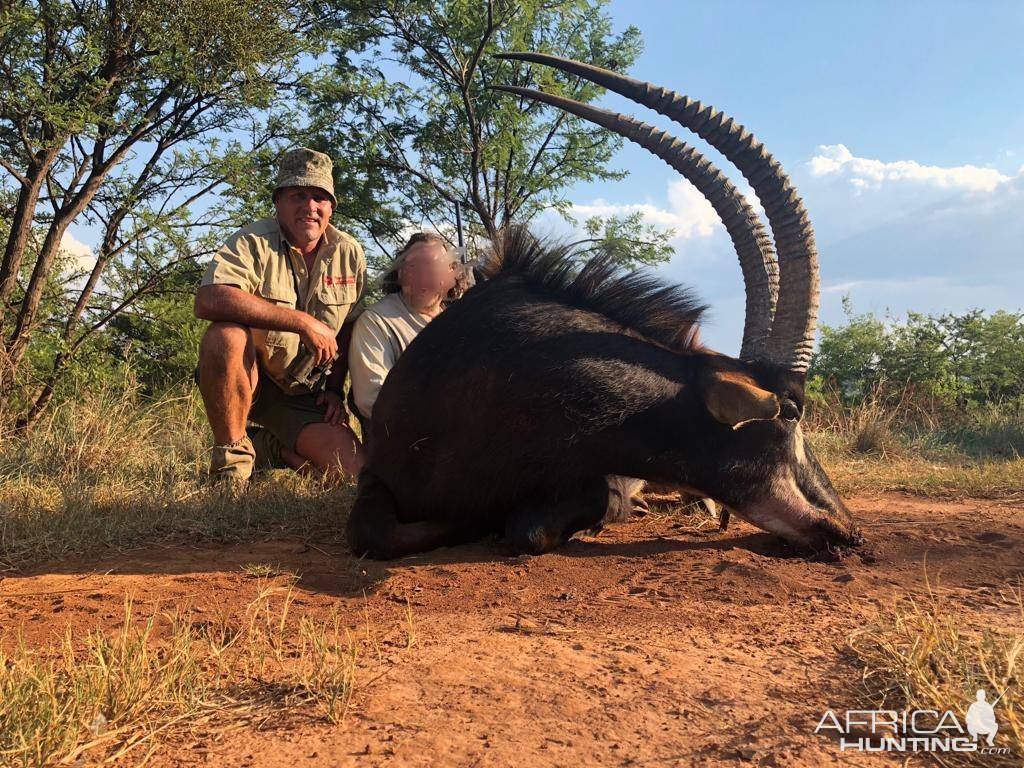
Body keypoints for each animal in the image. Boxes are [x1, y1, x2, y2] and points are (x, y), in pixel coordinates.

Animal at [348, 52, 860, 561]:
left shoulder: (599, 475)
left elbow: (531, 526)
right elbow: (376, 534)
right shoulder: (376, 477)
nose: (846, 528)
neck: (493, 378)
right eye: (790, 412)